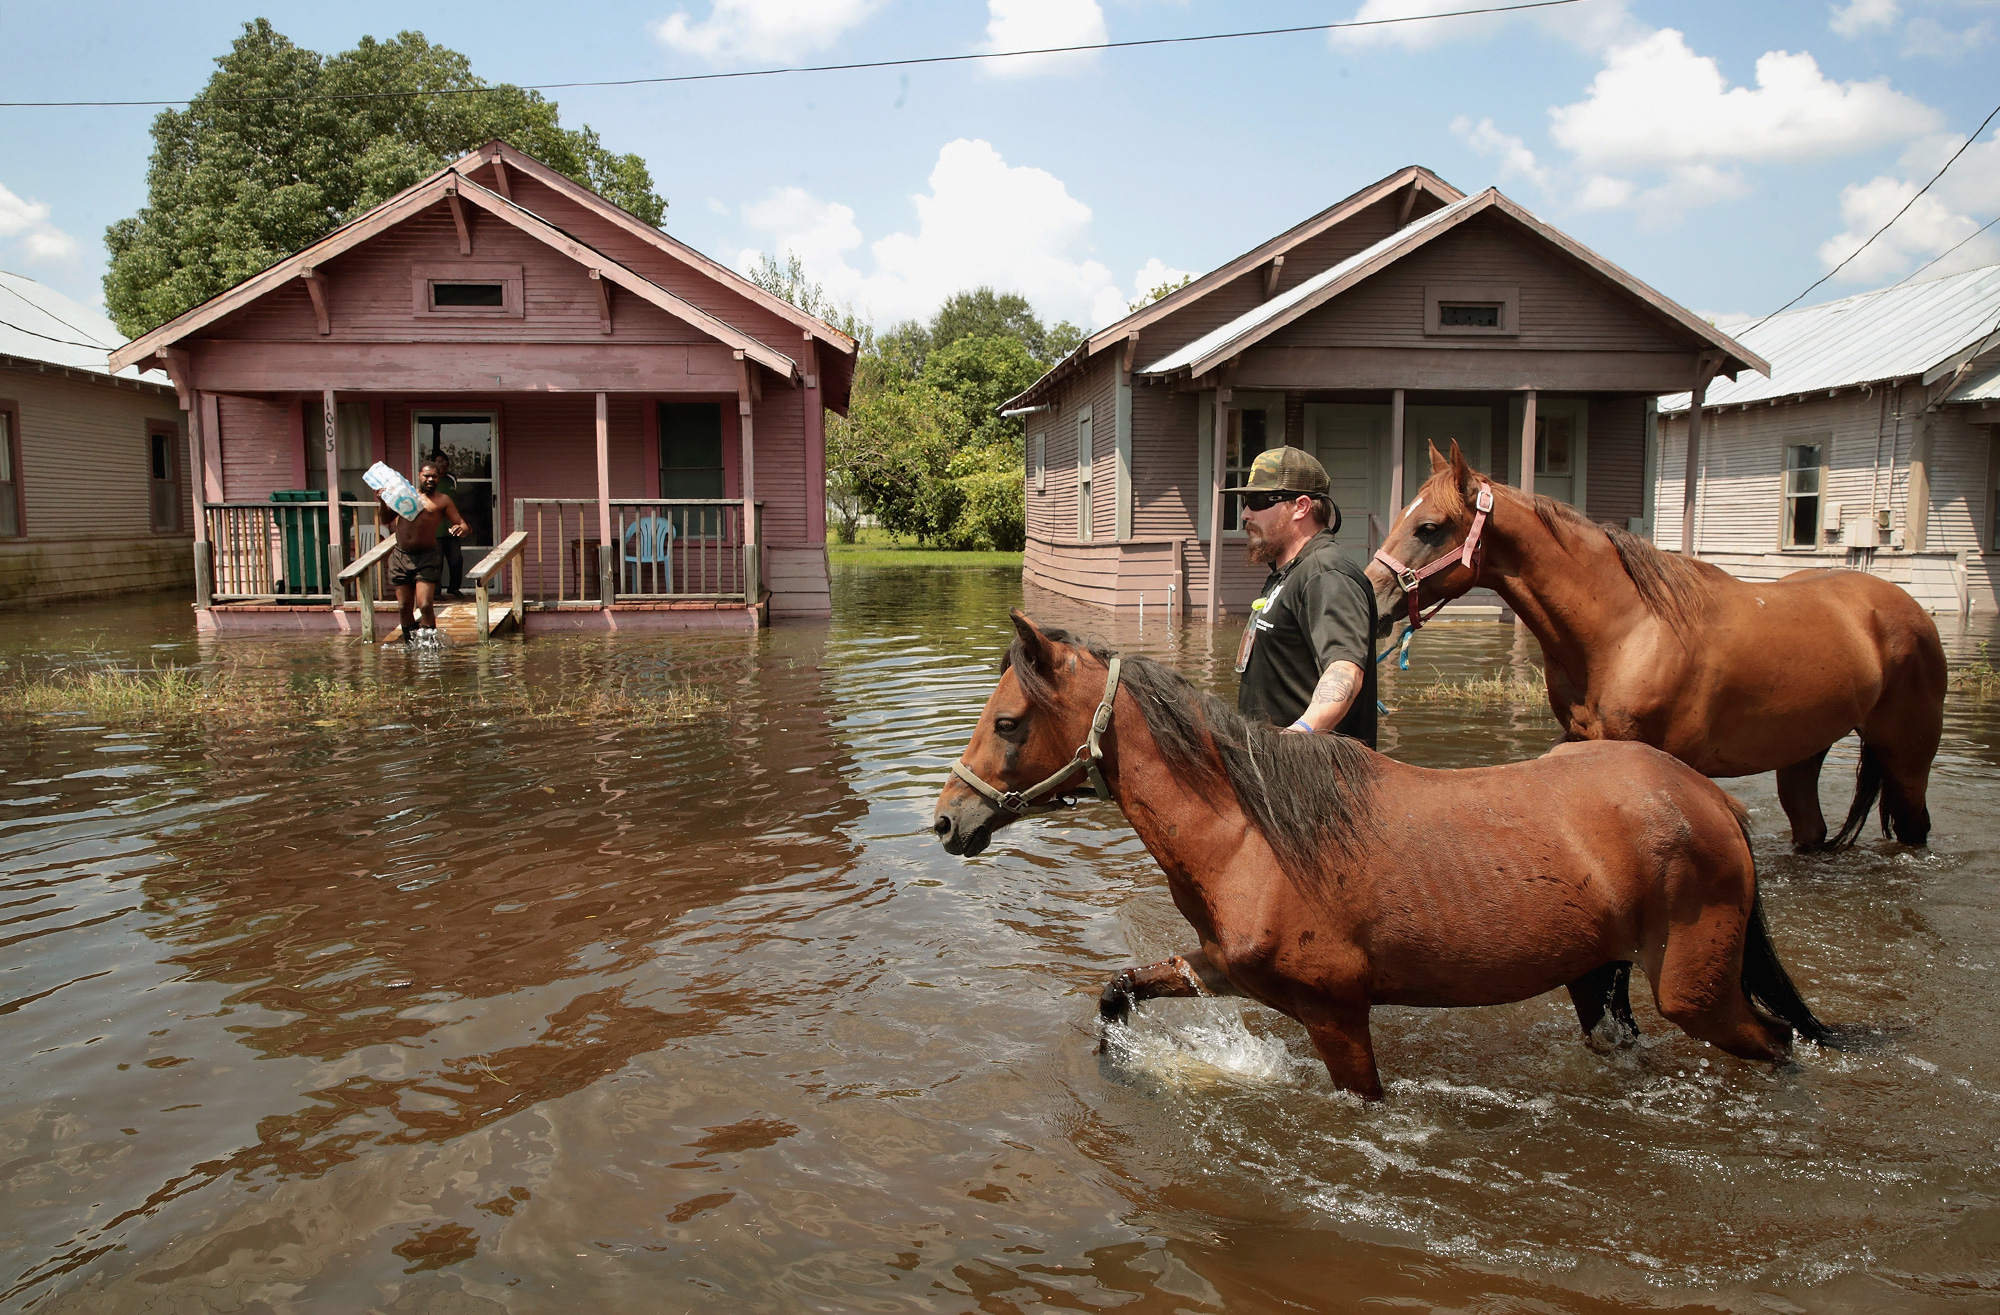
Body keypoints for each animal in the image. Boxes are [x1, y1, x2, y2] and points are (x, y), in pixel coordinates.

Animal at [936, 611, 1832, 1095]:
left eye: (1009, 722)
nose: (947, 821)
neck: (1250, 835)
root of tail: (1710, 799)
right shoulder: (1219, 966)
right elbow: (1116, 993)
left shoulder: (1338, 1017)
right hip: (1596, 979)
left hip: (1697, 993)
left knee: (1779, 1043)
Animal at [1368, 443, 1944, 851]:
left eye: (1429, 527)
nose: (1372, 595)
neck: (1628, 629)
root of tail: (1910, 608)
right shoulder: (1581, 740)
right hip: (1803, 753)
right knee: (1813, 830)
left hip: (1908, 755)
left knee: (1915, 827)